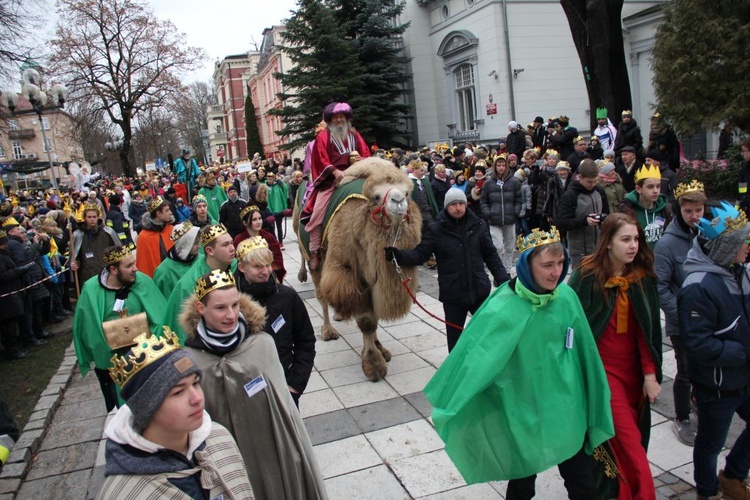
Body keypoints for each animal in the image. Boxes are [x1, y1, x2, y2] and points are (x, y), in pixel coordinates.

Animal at [294, 158, 424, 380]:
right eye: (377, 197)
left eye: (407, 193)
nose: (398, 201)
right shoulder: (349, 274)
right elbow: (366, 321)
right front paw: (373, 364)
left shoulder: (375, 279)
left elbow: (374, 318)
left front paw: (380, 349)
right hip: (314, 255)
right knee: (321, 293)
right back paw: (327, 330)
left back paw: (339, 314)